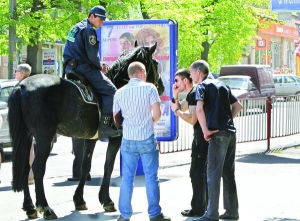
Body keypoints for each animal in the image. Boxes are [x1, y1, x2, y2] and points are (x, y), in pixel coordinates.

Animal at [8, 42, 165, 219]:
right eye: (156, 63)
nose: (161, 87)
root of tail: (21, 86)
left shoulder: (90, 139)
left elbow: (85, 166)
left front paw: (79, 200)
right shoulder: (116, 138)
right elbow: (108, 166)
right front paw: (106, 200)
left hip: (27, 136)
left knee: (25, 167)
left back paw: (29, 207)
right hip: (44, 138)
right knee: (37, 168)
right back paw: (45, 207)